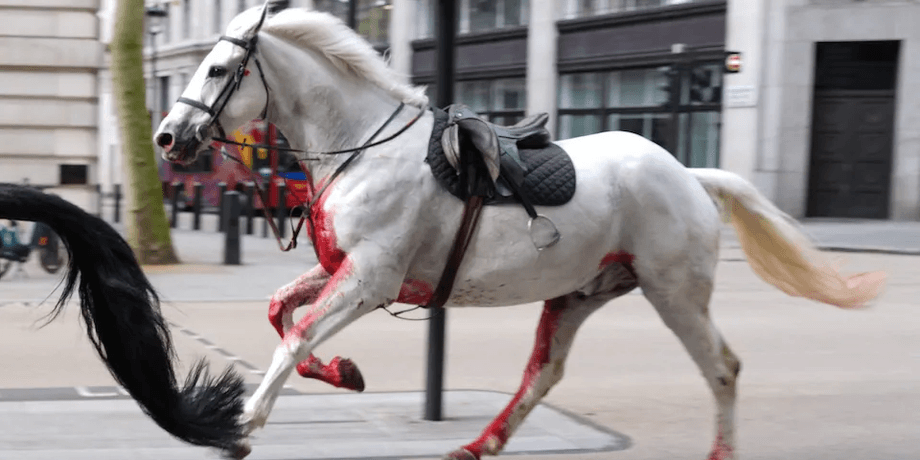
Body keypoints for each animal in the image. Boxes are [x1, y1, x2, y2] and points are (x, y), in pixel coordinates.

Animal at [153, 5, 886, 459]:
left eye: (218, 69)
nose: (166, 136)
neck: (361, 147)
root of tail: (688, 173)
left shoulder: (370, 278)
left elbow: (297, 332)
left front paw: (242, 425)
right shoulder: (345, 272)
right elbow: (281, 312)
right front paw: (345, 372)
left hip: (674, 292)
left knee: (723, 369)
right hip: (581, 293)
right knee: (544, 372)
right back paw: (481, 444)